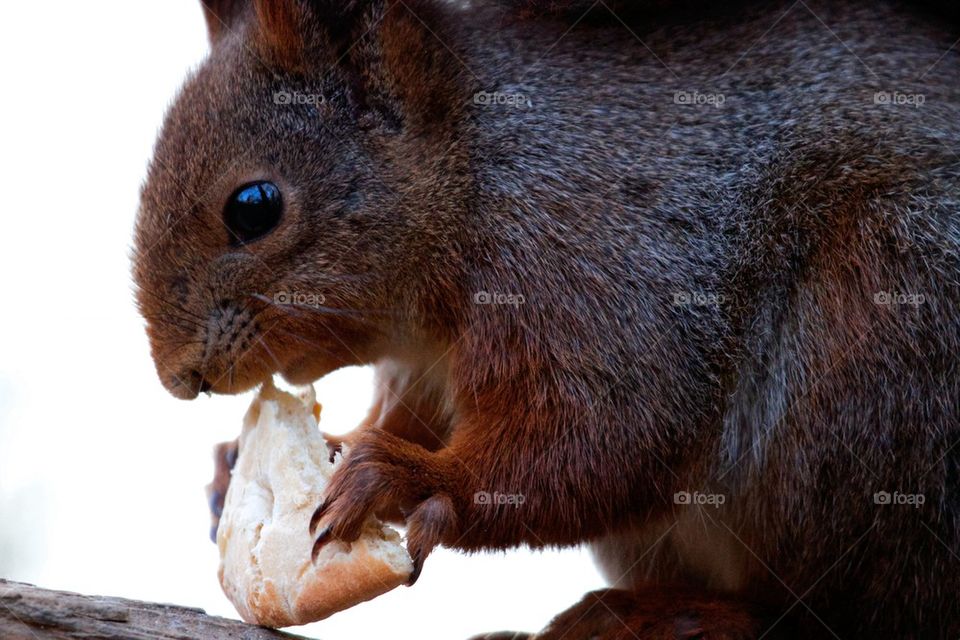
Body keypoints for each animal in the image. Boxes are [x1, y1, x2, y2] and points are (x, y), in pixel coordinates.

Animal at [133, 0, 960, 637]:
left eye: (254, 206)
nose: (179, 379)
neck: (476, 174)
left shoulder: (595, 268)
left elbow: (603, 437)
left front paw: (410, 480)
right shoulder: (424, 365)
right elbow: (413, 416)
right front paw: (252, 468)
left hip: (880, 364)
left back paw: (688, 617)